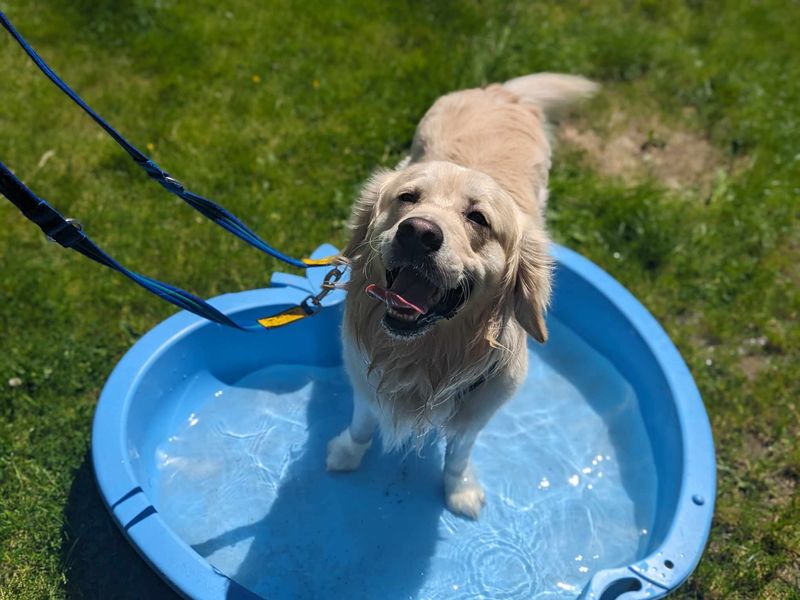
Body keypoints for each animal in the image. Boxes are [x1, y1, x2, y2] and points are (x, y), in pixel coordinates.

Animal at [328, 74, 596, 516]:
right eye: (407, 198)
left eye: (478, 218)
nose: (418, 233)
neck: (424, 357)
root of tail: (501, 91)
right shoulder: (363, 373)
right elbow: (362, 423)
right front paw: (347, 453)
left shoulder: (481, 406)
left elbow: (458, 452)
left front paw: (460, 490)